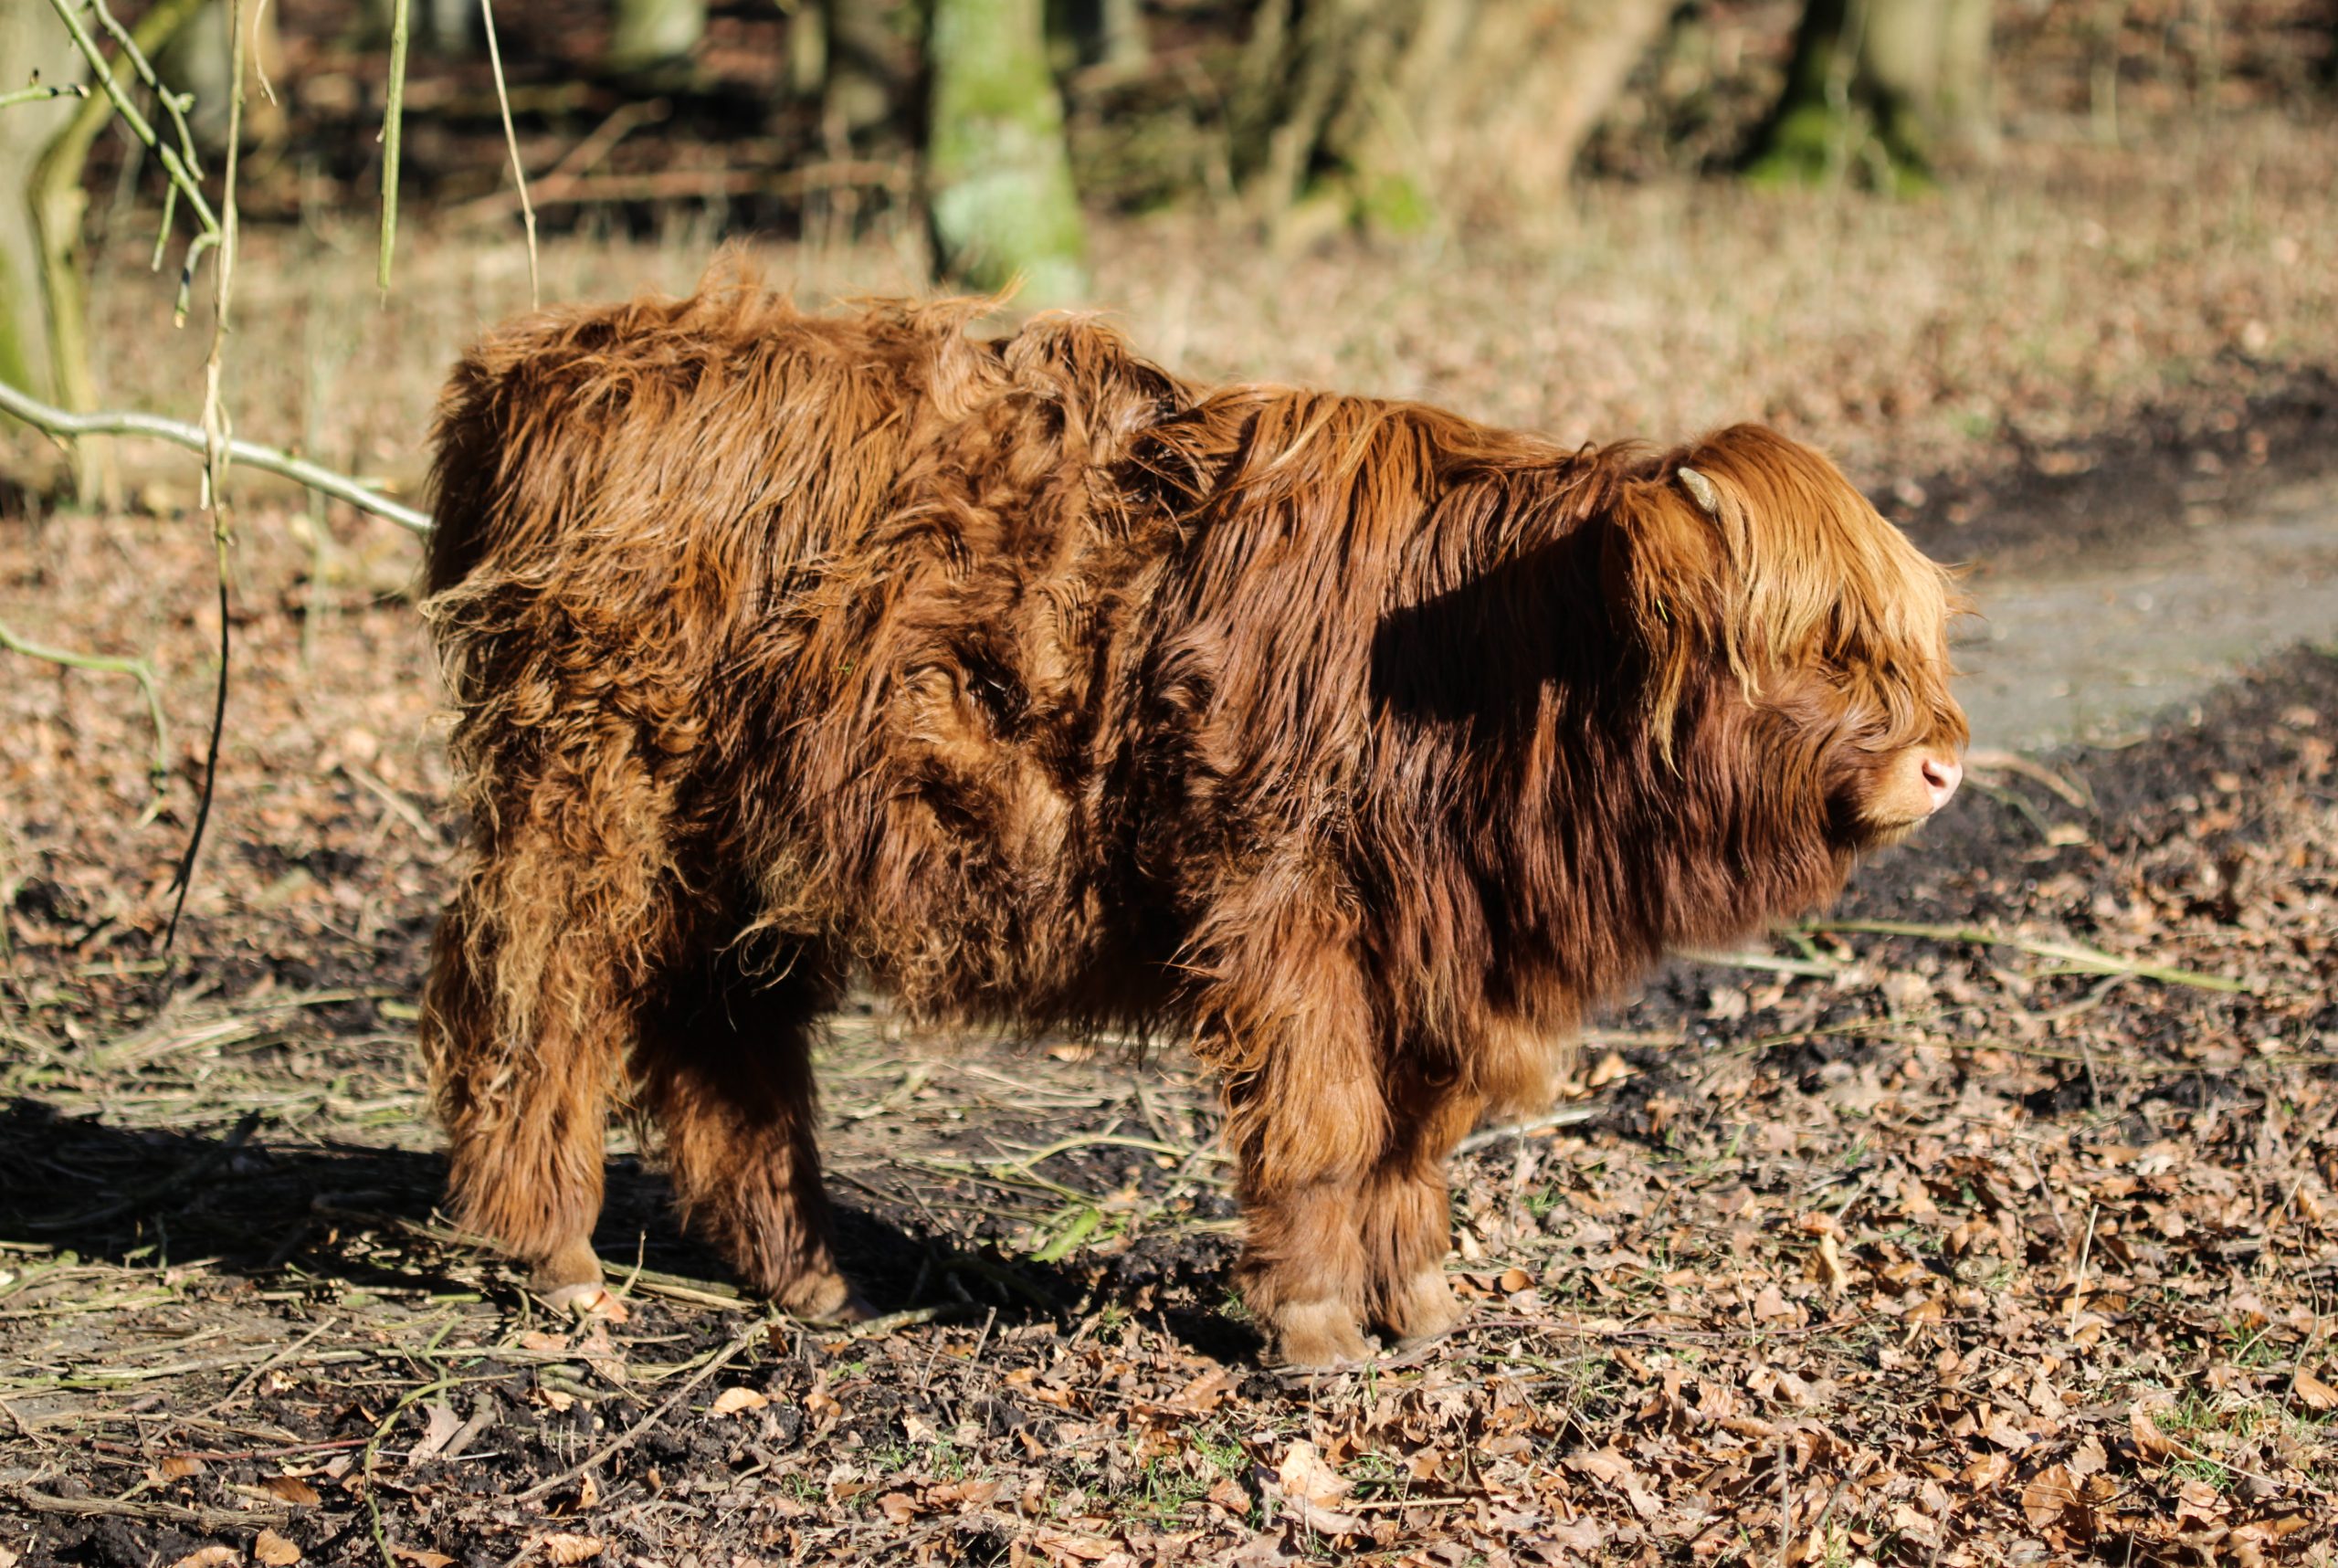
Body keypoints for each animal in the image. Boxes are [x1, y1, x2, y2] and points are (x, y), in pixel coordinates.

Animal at [416, 279, 1954, 1364]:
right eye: (1826, 649)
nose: (1945, 764)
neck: (1487, 667)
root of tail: (558, 363)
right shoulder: (1293, 918)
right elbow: (1325, 1125)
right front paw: (1317, 1331)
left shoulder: (1438, 958)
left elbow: (1413, 1139)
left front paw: (1422, 1305)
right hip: (589, 797)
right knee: (543, 1001)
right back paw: (555, 1263)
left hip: (735, 851)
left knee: (718, 1036)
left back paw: (810, 1276)